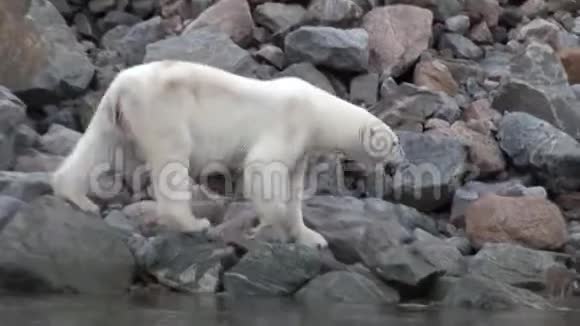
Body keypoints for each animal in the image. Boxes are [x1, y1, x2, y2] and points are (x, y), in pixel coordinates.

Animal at [49, 60, 406, 250]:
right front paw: (269, 225)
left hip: (115, 114)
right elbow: (262, 166)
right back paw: (193, 223)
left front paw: (311, 236)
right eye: (394, 143)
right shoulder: (289, 123)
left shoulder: (303, 148)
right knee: (171, 161)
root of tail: (120, 86)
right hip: (163, 111)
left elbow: (293, 187)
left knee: (97, 147)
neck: (318, 111)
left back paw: (77, 197)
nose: (398, 166)